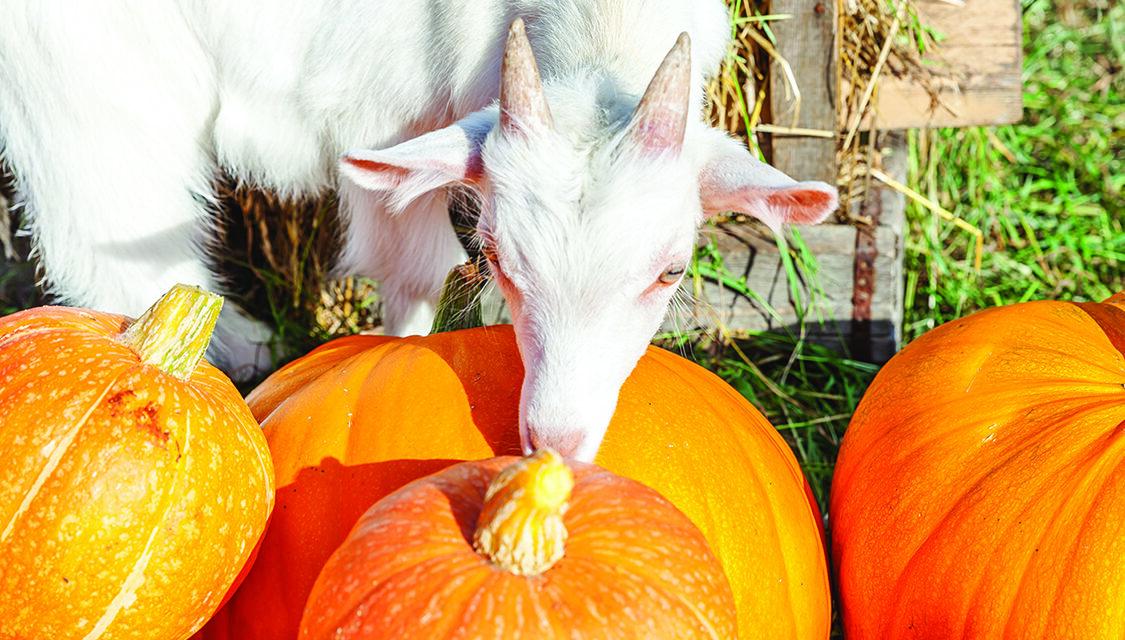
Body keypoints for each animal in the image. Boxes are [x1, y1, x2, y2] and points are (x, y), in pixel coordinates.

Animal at [0, 0, 837, 458]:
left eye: (669, 272)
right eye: (496, 258)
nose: (555, 442)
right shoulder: (388, 113)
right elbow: (411, 270)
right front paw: (394, 352)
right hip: (81, 82)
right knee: (107, 232)